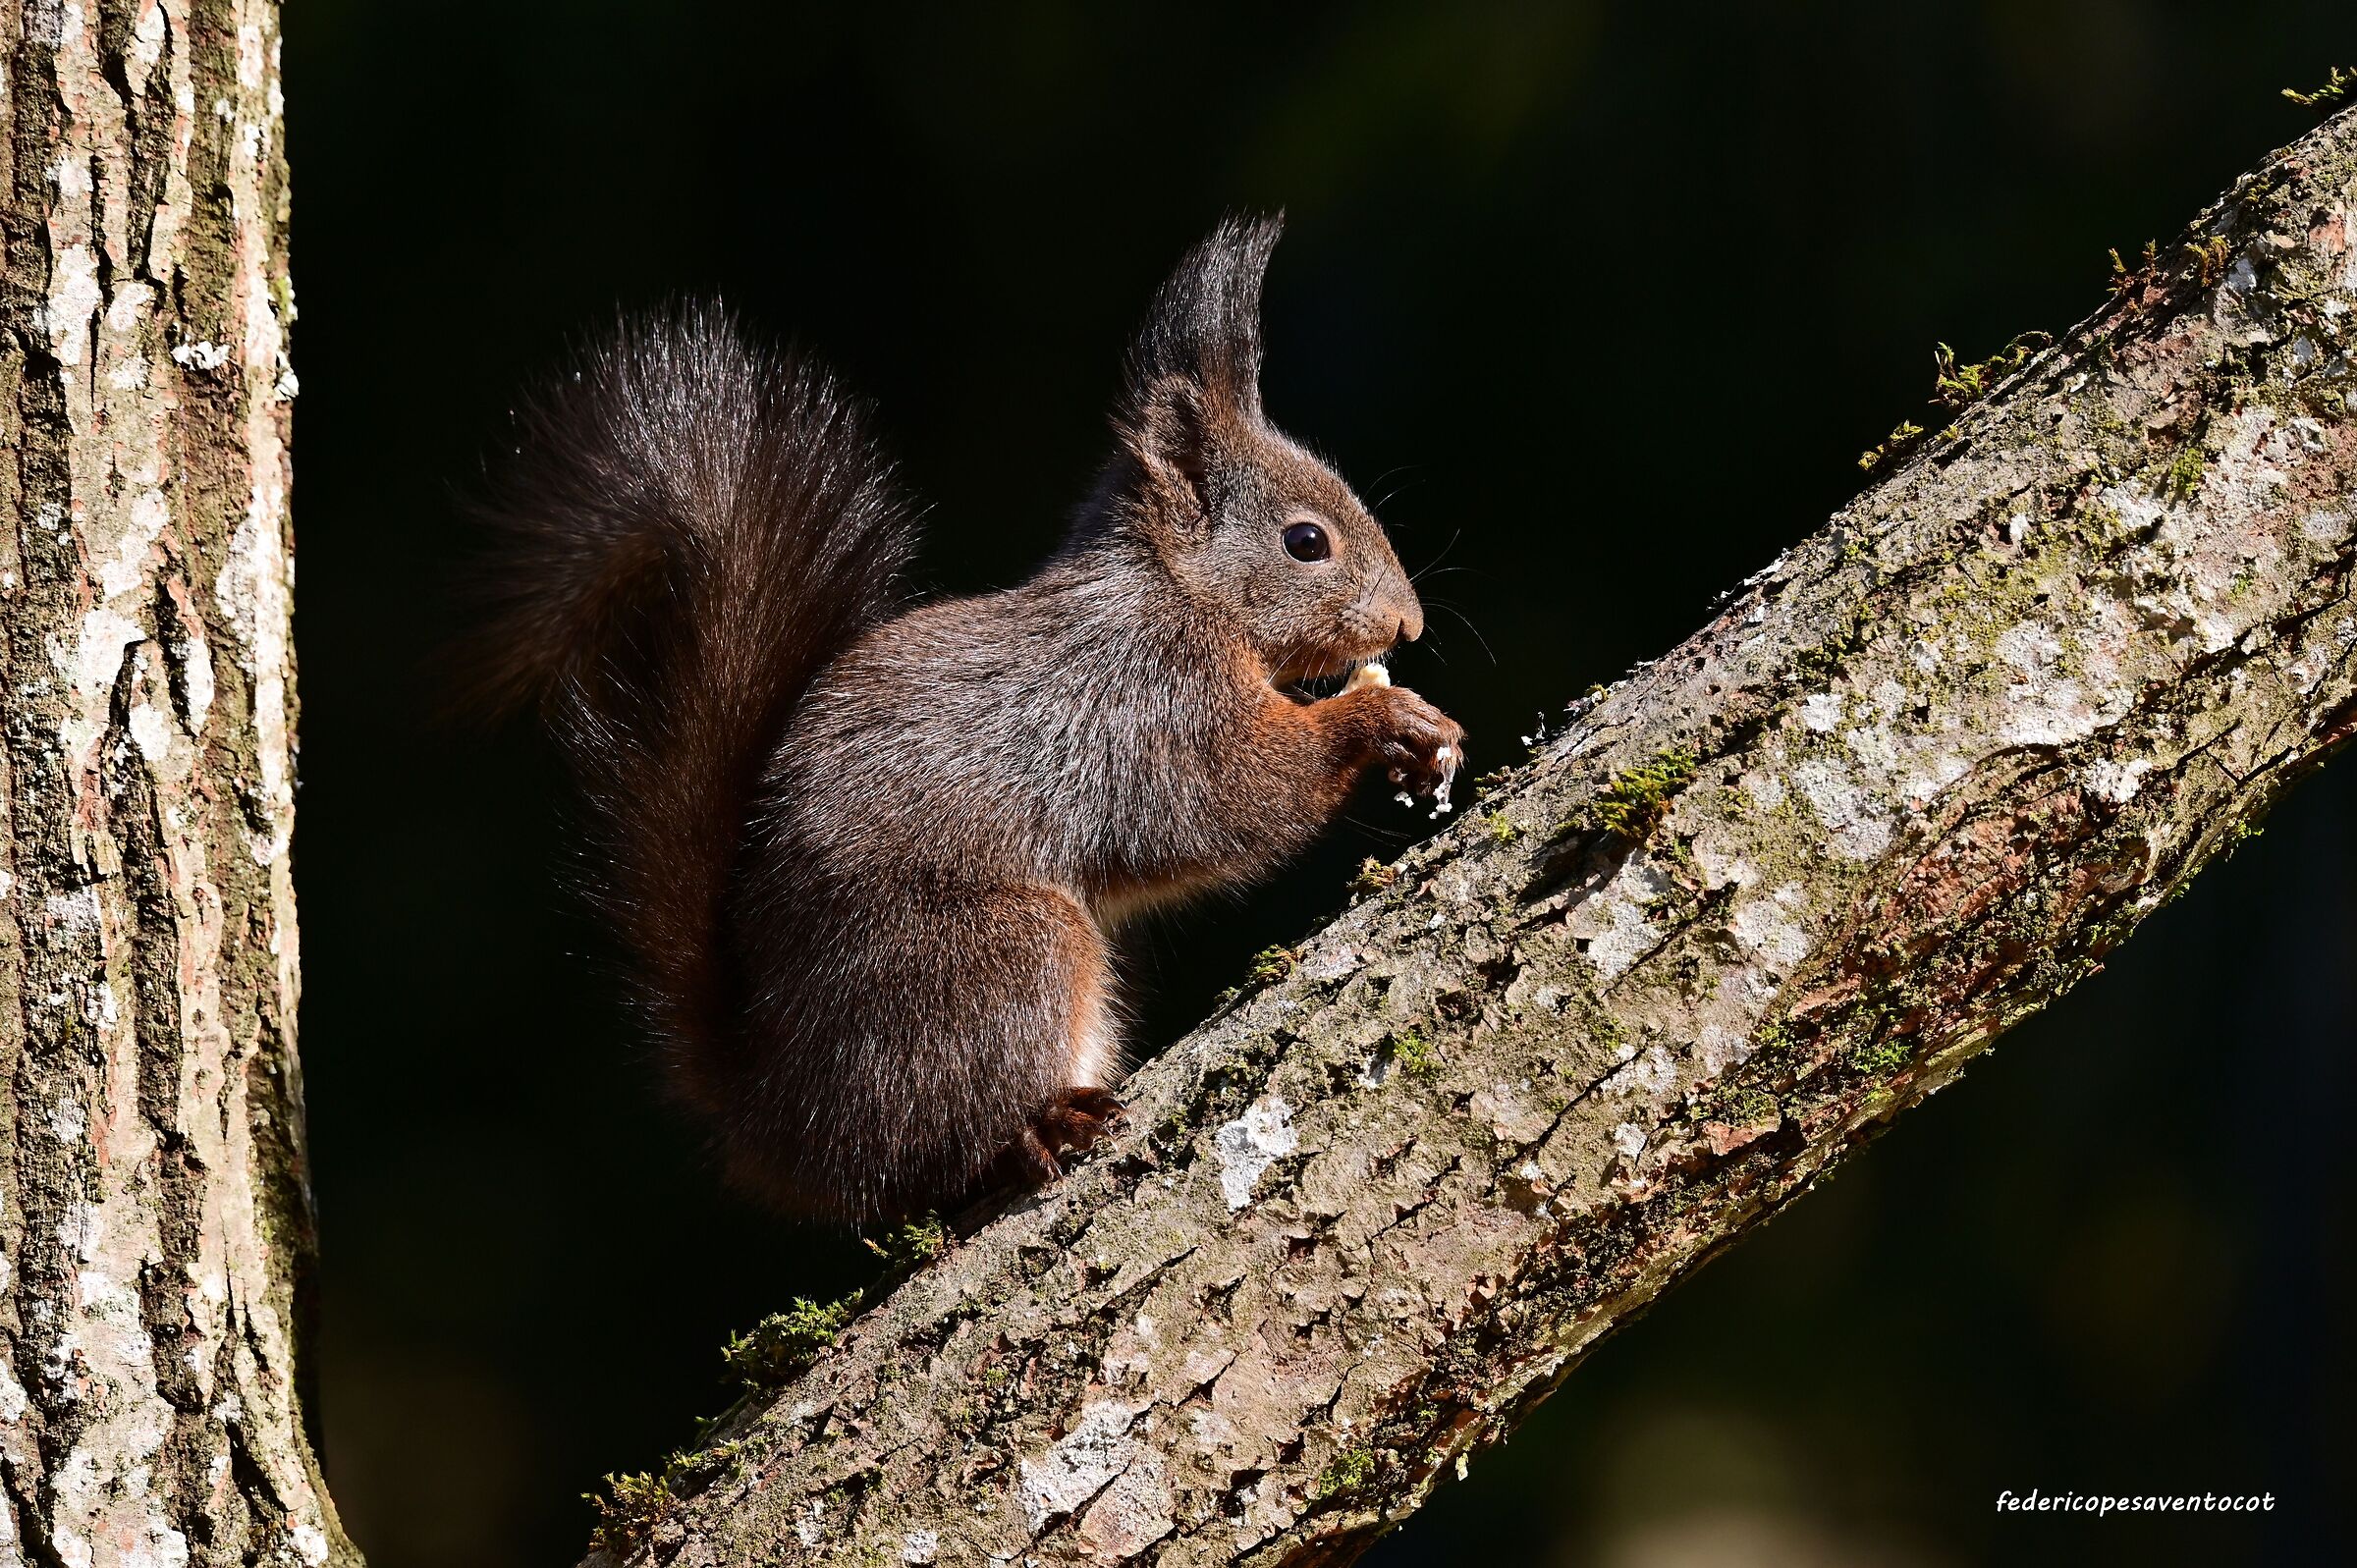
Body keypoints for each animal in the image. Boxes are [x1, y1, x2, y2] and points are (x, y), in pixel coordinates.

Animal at [466, 215, 1464, 1220]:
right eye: (1306, 541)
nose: (1409, 624)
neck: (1175, 592)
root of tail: (780, 1114)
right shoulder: (1141, 704)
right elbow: (1227, 797)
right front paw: (1384, 715)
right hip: (996, 958)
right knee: (933, 1148)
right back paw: (1036, 1128)